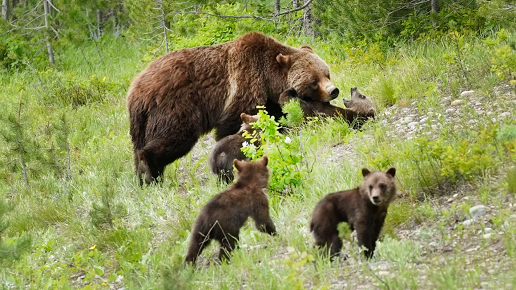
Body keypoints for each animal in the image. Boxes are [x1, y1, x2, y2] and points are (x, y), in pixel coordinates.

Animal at [127, 31, 340, 185]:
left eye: (327, 73)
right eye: (314, 81)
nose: (334, 91)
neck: (269, 78)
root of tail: (134, 91)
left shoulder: (270, 99)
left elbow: (275, 117)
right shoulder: (244, 85)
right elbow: (233, 123)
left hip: (142, 124)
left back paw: (142, 177)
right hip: (175, 106)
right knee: (174, 137)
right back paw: (150, 174)